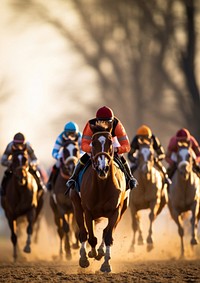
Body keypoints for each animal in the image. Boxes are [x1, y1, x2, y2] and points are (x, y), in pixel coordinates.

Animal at [69, 125, 128, 274]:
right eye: (93, 143)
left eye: (110, 142)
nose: (103, 168)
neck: (102, 187)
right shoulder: (88, 212)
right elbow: (90, 237)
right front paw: (90, 255)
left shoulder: (115, 212)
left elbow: (108, 236)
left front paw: (106, 264)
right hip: (77, 206)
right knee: (83, 233)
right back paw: (85, 256)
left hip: (122, 210)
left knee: (106, 231)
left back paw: (100, 252)